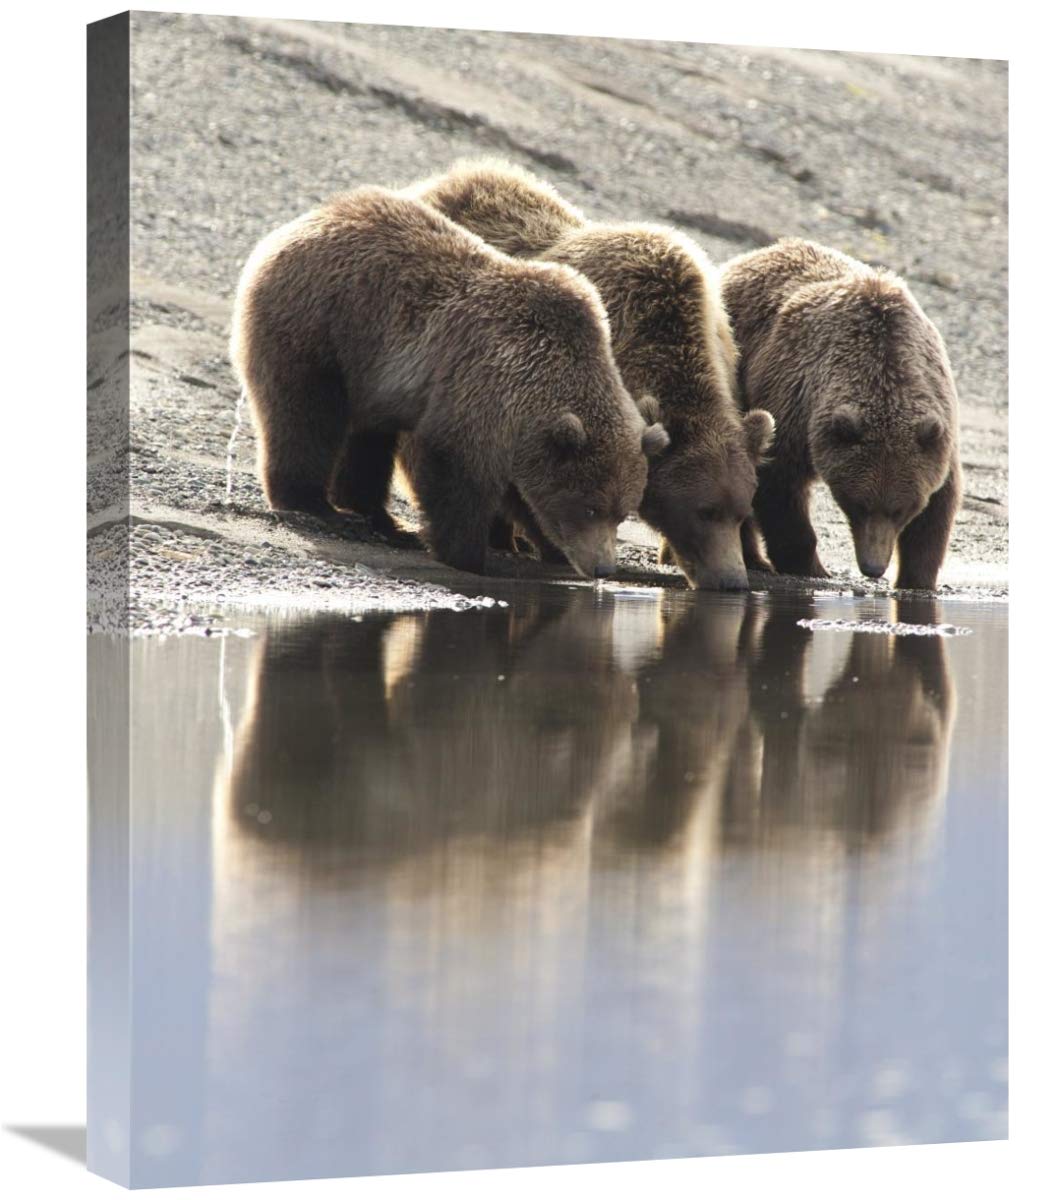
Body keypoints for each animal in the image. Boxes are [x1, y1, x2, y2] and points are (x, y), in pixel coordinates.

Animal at [229, 186, 668, 578]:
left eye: (622, 511)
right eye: (591, 506)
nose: (604, 567)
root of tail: (304, 220)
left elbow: (525, 494)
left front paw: (549, 547)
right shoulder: (480, 392)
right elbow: (456, 474)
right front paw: (465, 553)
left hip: (369, 372)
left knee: (367, 440)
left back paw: (381, 518)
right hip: (323, 326)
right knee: (304, 417)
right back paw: (312, 504)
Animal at [720, 238, 962, 590]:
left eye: (901, 509)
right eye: (858, 505)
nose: (873, 567)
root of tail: (755, 254)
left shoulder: (938, 426)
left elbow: (939, 505)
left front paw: (916, 579)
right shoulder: (796, 405)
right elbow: (779, 483)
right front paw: (810, 565)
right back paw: (752, 557)